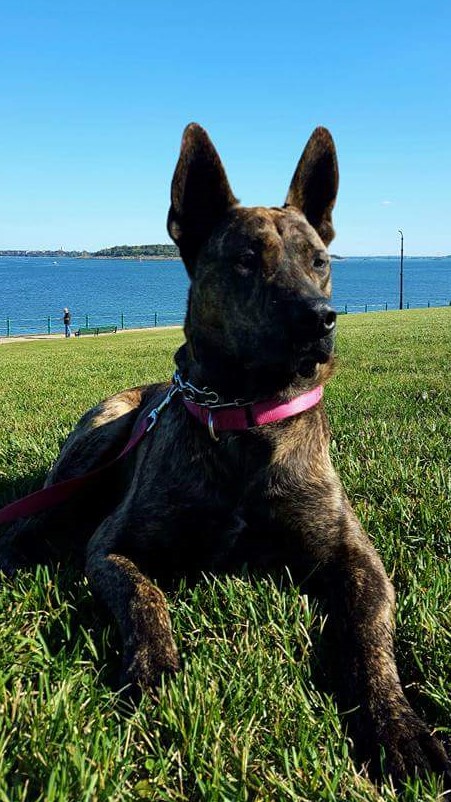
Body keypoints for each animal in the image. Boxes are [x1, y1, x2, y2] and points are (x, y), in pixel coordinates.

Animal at [0, 122, 450, 784]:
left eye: (320, 262)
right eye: (245, 260)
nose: (320, 320)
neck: (244, 417)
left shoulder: (356, 557)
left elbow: (370, 634)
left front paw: (396, 722)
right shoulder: (112, 544)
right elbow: (145, 597)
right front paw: (154, 669)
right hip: (99, 441)